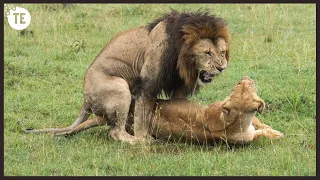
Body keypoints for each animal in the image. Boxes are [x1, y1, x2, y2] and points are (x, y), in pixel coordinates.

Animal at [24, 10, 230, 145]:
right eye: (207, 53)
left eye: (222, 52)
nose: (222, 67)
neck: (183, 57)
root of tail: (85, 100)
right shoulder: (147, 82)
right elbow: (142, 114)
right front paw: (142, 136)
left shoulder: (178, 85)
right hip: (120, 87)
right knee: (115, 132)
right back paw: (138, 141)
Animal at [53, 76, 284, 145]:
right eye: (239, 85)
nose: (245, 78)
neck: (234, 121)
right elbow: (262, 129)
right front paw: (275, 132)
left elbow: (260, 127)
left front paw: (271, 130)